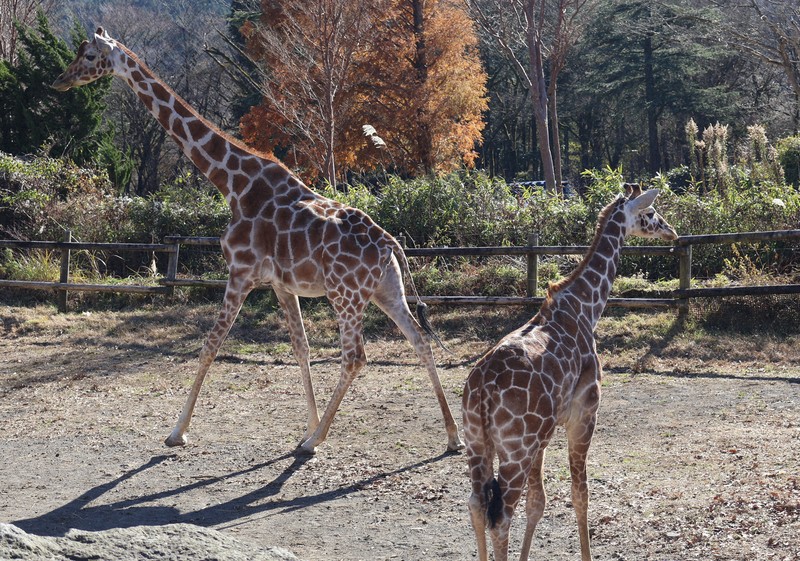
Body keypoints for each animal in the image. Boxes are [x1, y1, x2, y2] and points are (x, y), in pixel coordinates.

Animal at [54, 27, 462, 456]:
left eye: (89, 55)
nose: (59, 81)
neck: (234, 184)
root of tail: (388, 244)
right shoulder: (282, 285)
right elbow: (301, 347)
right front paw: (306, 425)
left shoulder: (241, 273)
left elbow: (210, 345)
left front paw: (177, 432)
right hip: (386, 290)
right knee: (420, 340)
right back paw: (452, 437)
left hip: (345, 295)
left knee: (355, 357)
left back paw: (317, 441)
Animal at [462, 185, 676, 560]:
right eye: (651, 213)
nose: (672, 232)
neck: (586, 307)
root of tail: (483, 393)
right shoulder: (584, 414)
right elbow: (580, 495)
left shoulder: (544, 437)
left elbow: (538, 502)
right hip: (515, 450)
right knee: (500, 517)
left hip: (477, 442)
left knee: (476, 504)